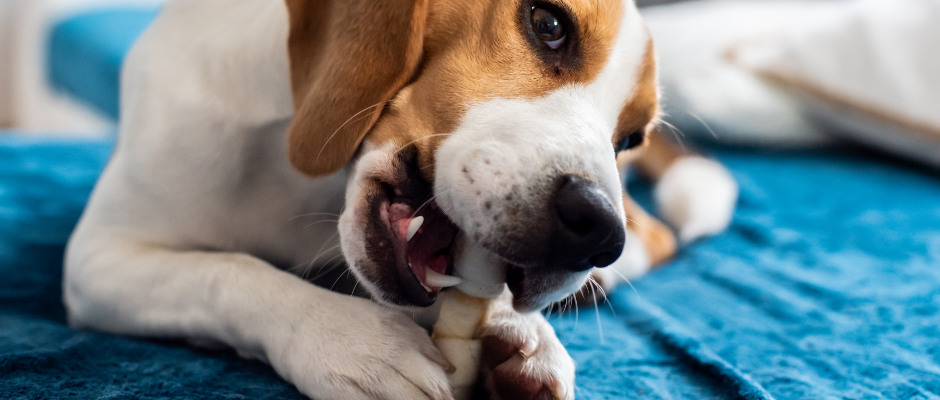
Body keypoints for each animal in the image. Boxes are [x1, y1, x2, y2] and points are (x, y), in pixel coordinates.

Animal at [64, 0, 740, 398]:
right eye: (549, 24)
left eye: (628, 138)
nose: (597, 231)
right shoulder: (99, 262)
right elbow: (229, 272)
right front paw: (354, 343)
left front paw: (524, 332)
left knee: (658, 236)